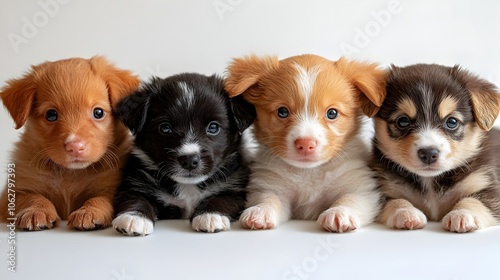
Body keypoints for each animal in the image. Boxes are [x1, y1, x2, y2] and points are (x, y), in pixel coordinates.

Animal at [0, 56, 139, 230]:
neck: (70, 173)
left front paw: (89, 212)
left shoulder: (111, 188)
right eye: (51, 115)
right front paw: (36, 211)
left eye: (98, 112)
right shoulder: (13, 193)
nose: (75, 147)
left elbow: (100, 199)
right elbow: (32, 197)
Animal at [112, 73, 254, 235]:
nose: (190, 160)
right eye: (165, 128)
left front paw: (210, 215)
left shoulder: (235, 188)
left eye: (213, 127)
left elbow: (220, 198)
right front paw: (134, 217)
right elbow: (136, 198)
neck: (187, 187)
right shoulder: (133, 184)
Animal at [225, 54, 384, 232]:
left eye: (332, 113)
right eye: (282, 112)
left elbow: (349, 198)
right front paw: (260, 210)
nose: (306, 143)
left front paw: (339, 212)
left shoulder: (360, 187)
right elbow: (269, 197)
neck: (308, 172)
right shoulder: (270, 184)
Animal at [374, 63, 500, 232]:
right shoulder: (382, 188)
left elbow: (473, 200)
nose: (428, 153)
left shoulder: (487, 184)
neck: (430, 182)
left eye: (452, 122)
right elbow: (395, 200)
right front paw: (405, 212)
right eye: (403, 121)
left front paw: (462, 214)